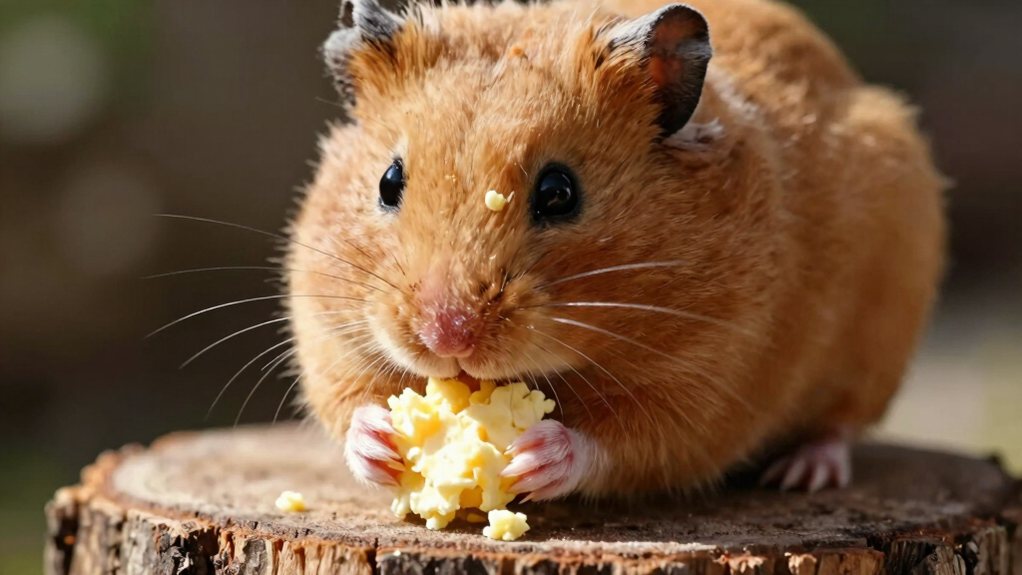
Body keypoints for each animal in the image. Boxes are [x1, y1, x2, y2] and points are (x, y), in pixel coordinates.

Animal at [287, 0, 945, 498]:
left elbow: (621, 443)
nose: (447, 339)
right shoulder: (325, 331)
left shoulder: (715, 377)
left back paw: (803, 474)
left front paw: (535, 455)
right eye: (387, 182)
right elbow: (346, 401)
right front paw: (380, 442)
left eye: (558, 192)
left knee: (841, 425)